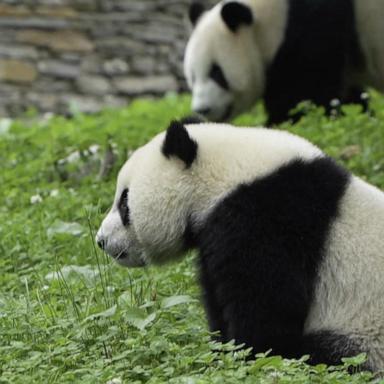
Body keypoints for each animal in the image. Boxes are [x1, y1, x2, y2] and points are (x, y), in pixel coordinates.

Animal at [95, 121, 384, 372]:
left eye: (124, 202)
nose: (101, 240)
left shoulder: (265, 220)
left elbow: (268, 306)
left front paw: (246, 358)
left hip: (362, 334)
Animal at [183, 0, 384, 124]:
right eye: (192, 77)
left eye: (216, 73)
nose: (202, 109)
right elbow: (350, 98)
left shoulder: (314, 27)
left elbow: (305, 99)